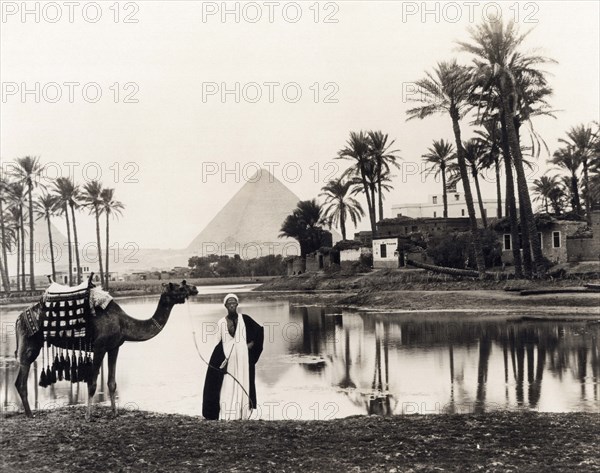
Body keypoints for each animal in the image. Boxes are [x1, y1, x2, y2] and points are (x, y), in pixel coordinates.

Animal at [14, 278, 199, 418]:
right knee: (22, 380)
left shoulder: (114, 347)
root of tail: (18, 317)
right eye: (179, 286)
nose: (195, 288)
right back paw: (30, 415)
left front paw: (115, 413)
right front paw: (88, 416)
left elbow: (111, 383)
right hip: (29, 344)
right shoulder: (99, 347)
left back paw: (29, 413)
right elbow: (92, 383)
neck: (123, 323)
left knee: (18, 381)